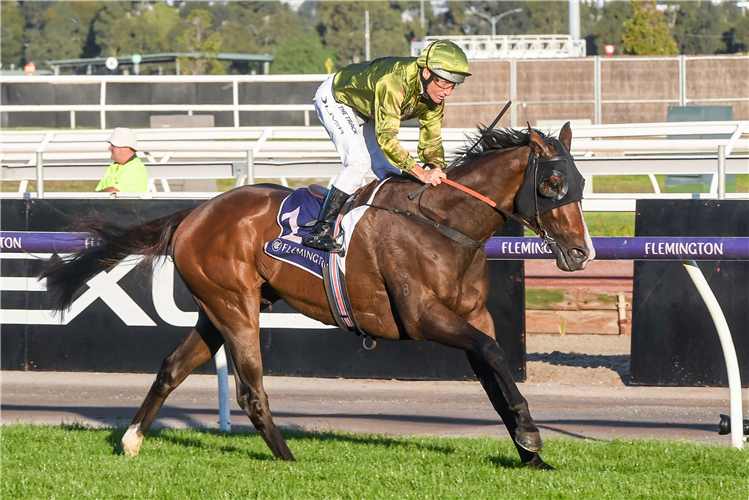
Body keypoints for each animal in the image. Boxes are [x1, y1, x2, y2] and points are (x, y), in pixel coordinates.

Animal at [41, 123, 592, 470]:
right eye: (553, 183)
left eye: (581, 182)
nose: (582, 252)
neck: (443, 224)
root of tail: (193, 213)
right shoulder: (422, 317)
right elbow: (496, 355)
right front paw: (530, 436)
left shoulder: (473, 316)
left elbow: (493, 373)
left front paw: (531, 454)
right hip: (235, 306)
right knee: (250, 391)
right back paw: (289, 460)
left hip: (217, 309)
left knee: (172, 368)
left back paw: (132, 440)